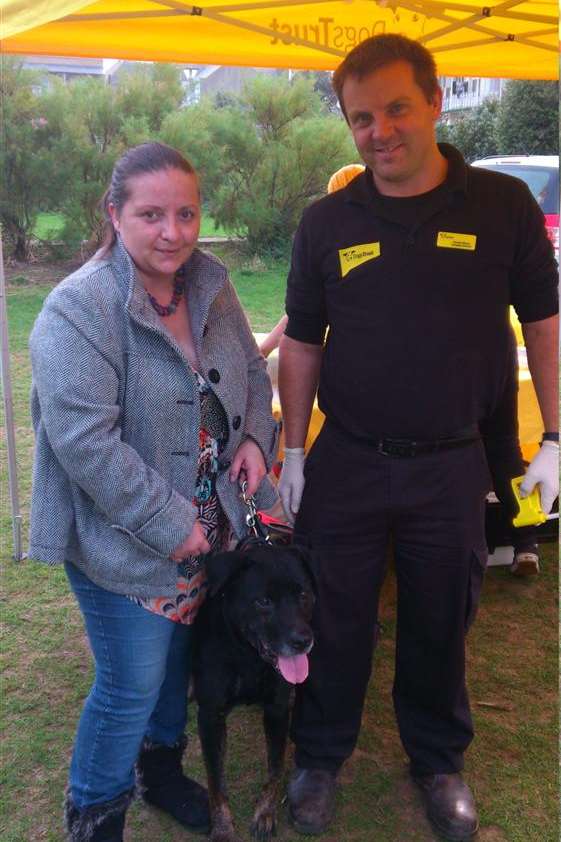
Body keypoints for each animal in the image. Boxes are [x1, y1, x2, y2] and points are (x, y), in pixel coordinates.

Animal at [192, 540, 316, 840]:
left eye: (303, 594)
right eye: (263, 601)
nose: (302, 641)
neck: (248, 655)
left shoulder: (277, 711)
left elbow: (275, 766)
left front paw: (265, 814)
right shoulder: (210, 716)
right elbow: (215, 779)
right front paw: (222, 828)